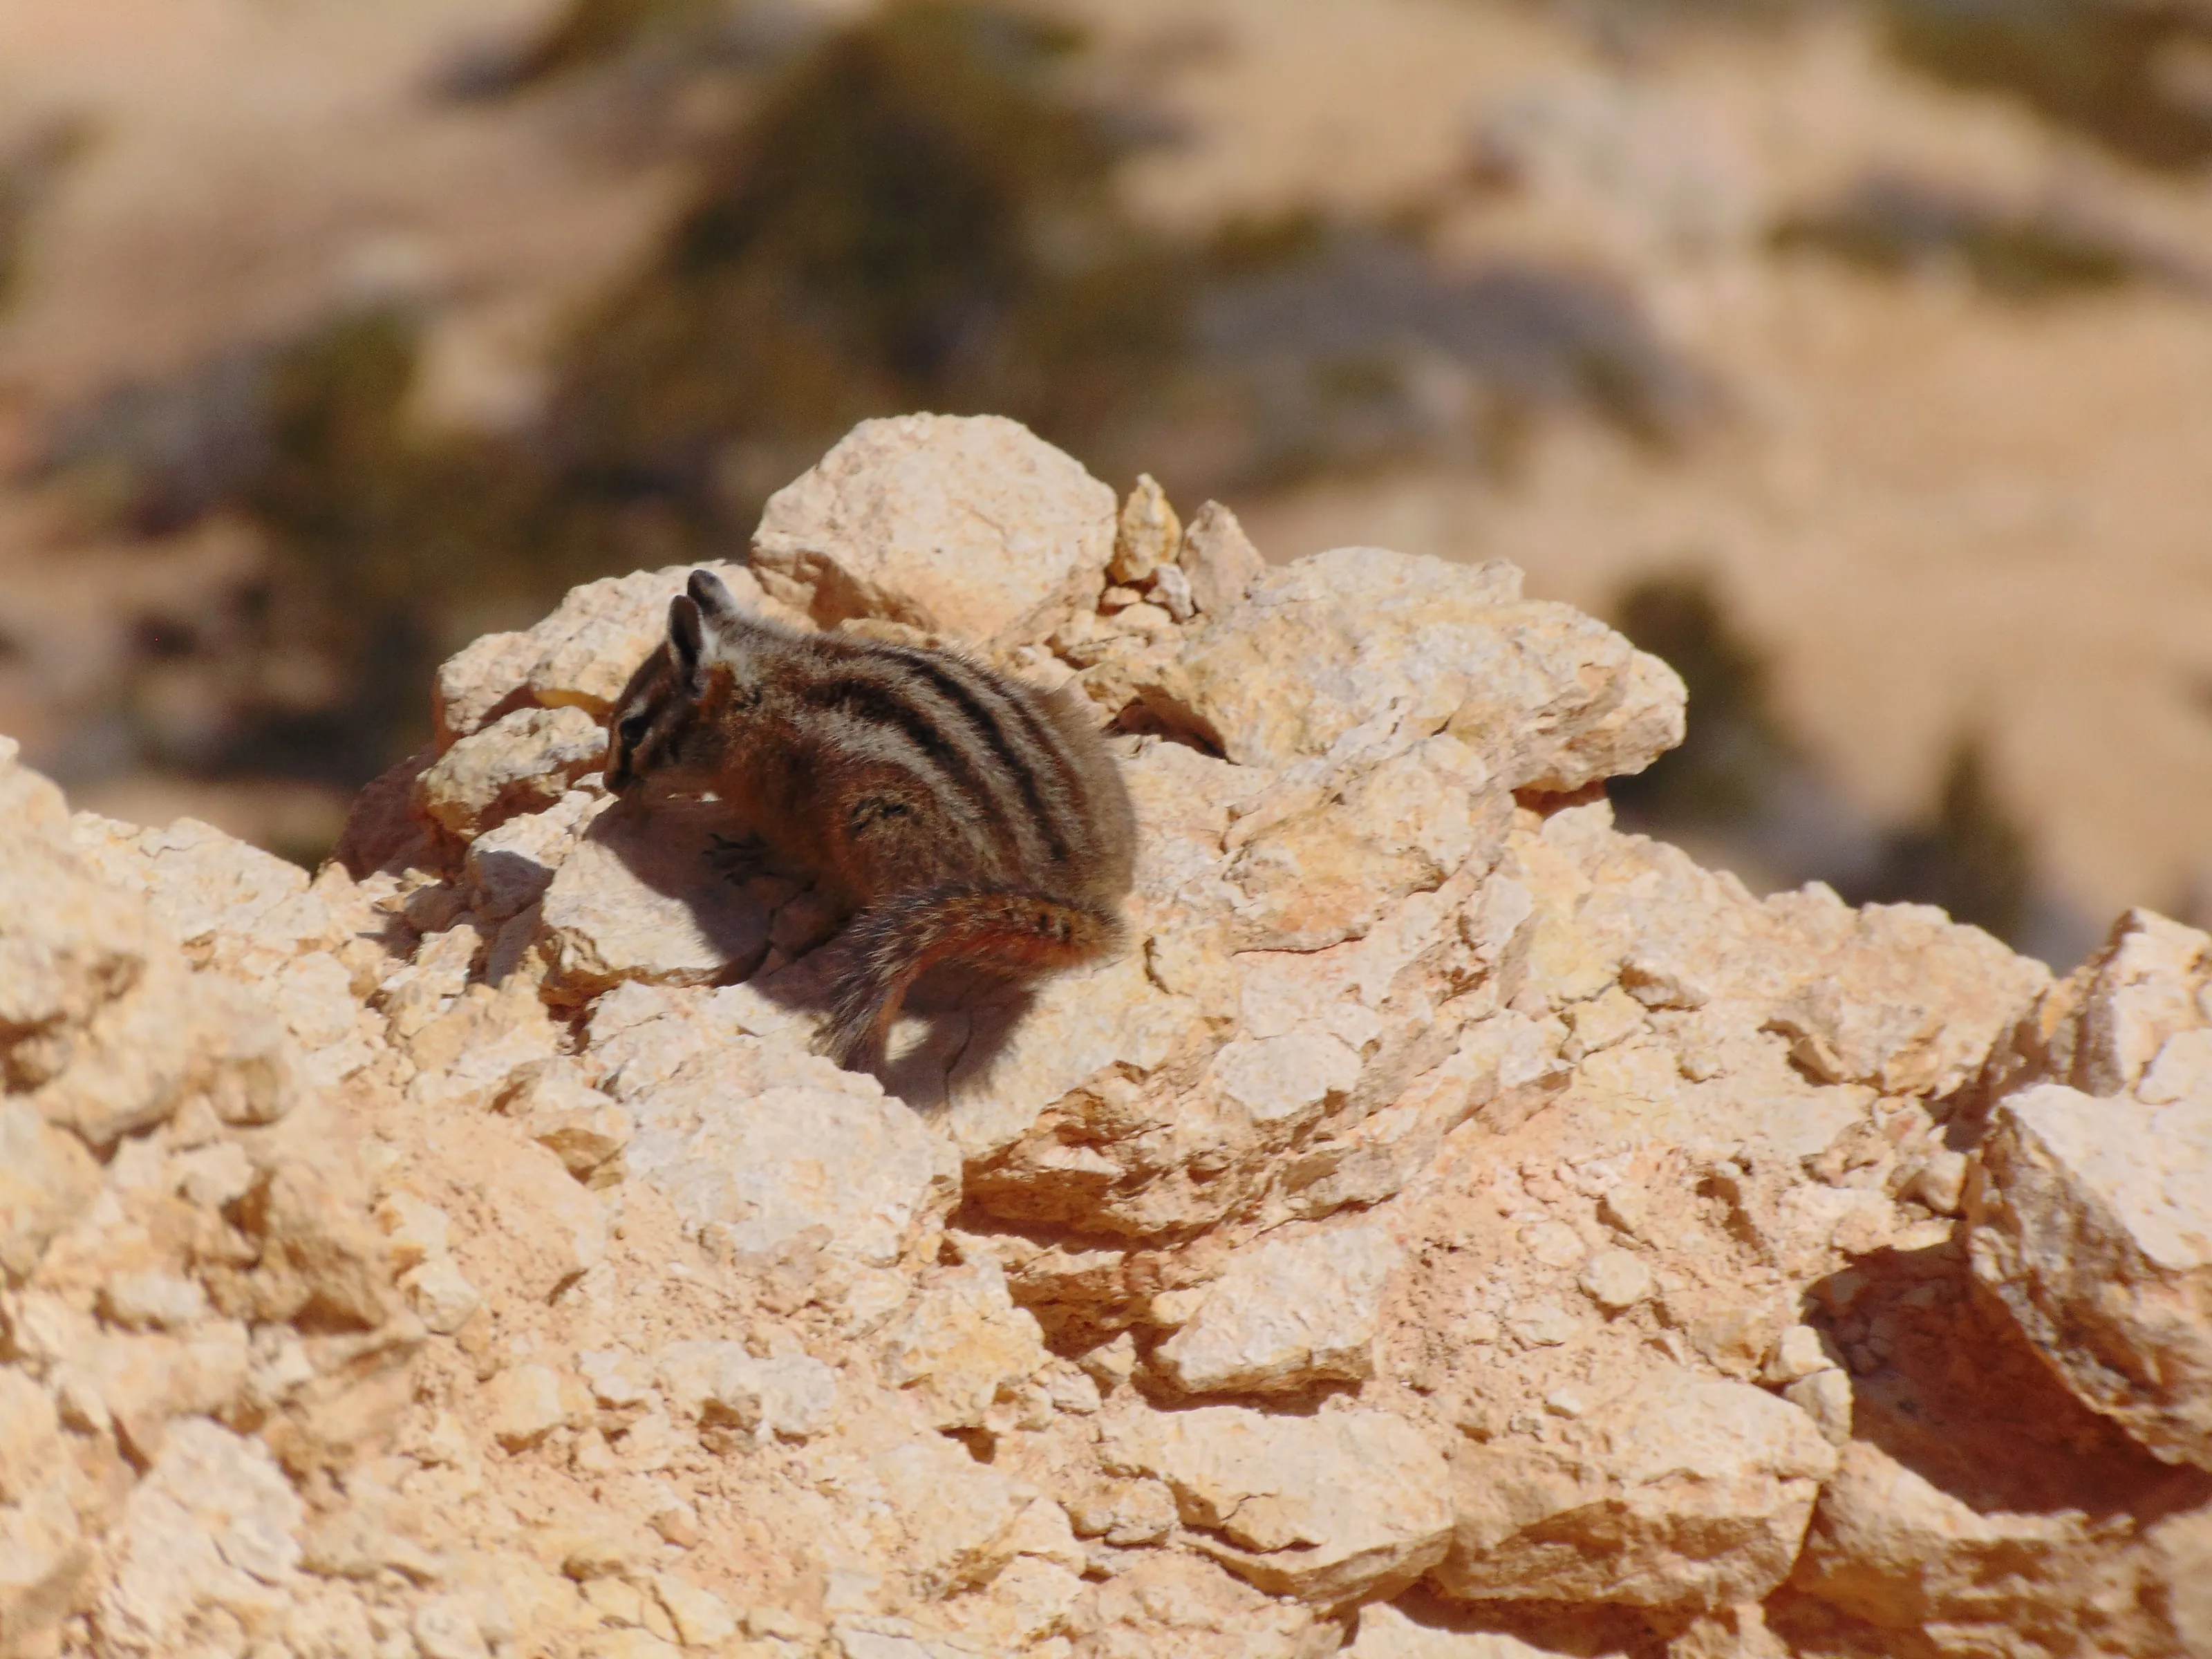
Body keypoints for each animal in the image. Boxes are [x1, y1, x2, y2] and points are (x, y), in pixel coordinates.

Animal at [605, 568, 1137, 1068]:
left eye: (632, 729)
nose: (609, 783)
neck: (759, 693)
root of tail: (1073, 899)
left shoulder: (791, 808)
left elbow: (791, 857)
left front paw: (751, 855)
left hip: (878, 822)